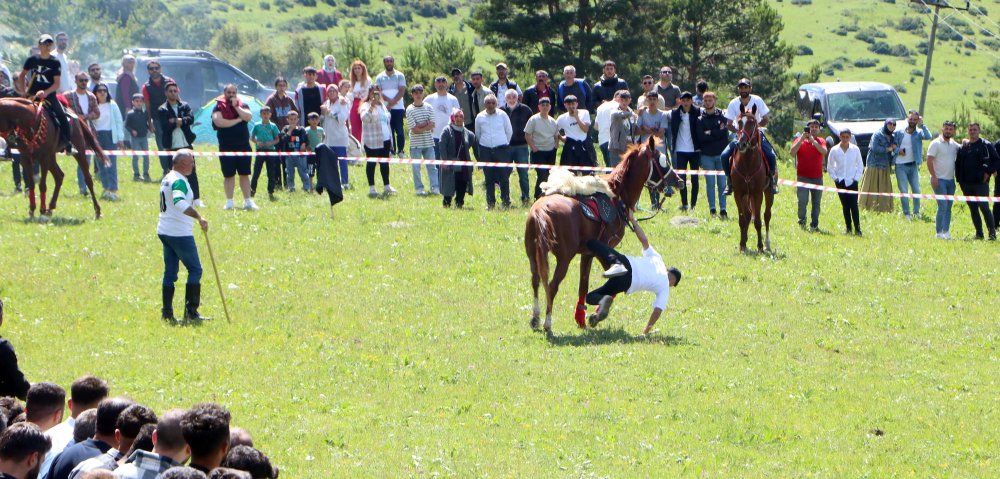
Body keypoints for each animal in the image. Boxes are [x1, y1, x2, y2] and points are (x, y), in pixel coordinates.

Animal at [524, 136, 680, 334]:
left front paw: (581, 317)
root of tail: (540, 210)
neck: (616, 195)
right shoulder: (601, 248)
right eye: (663, 161)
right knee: (551, 286)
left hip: (533, 253)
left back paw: (536, 317)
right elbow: (609, 284)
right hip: (564, 257)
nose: (679, 180)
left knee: (536, 280)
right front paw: (597, 313)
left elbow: (583, 285)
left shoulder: (586, 253)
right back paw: (548, 323)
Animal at [732, 103, 776, 253]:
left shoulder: (758, 194)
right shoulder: (738, 193)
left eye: (752, 123)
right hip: (747, 195)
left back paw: (767, 244)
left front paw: (760, 246)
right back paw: (745, 242)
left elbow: (758, 220)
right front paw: (742, 245)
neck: (747, 163)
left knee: (767, 216)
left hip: (768, 193)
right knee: (747, 215)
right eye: (739, 122)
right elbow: (742, 219)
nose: (741, 144)